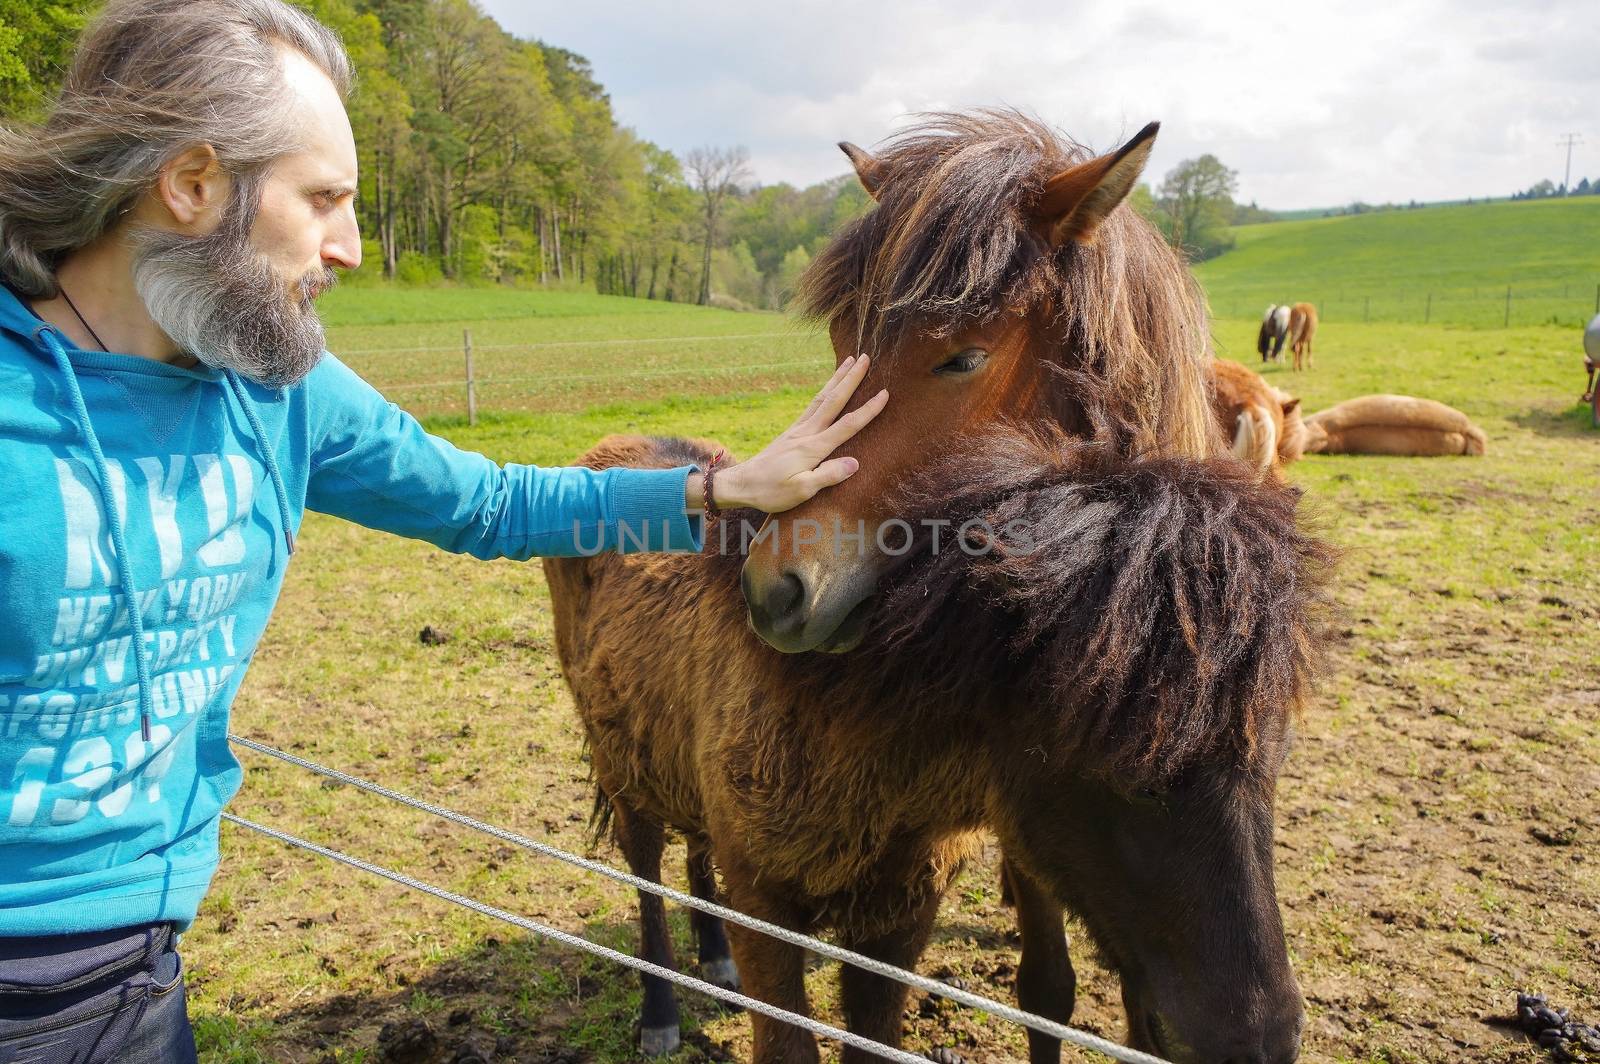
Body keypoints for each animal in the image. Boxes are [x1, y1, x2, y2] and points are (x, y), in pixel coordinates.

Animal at [547, 109, 1324, 1062]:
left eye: (964, 357)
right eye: (842, 344)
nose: (776, 591)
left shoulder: (921, 892)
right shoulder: (778, 903)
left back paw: (711, 956)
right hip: (623, 773)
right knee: (648, 870)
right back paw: (660, 1008)